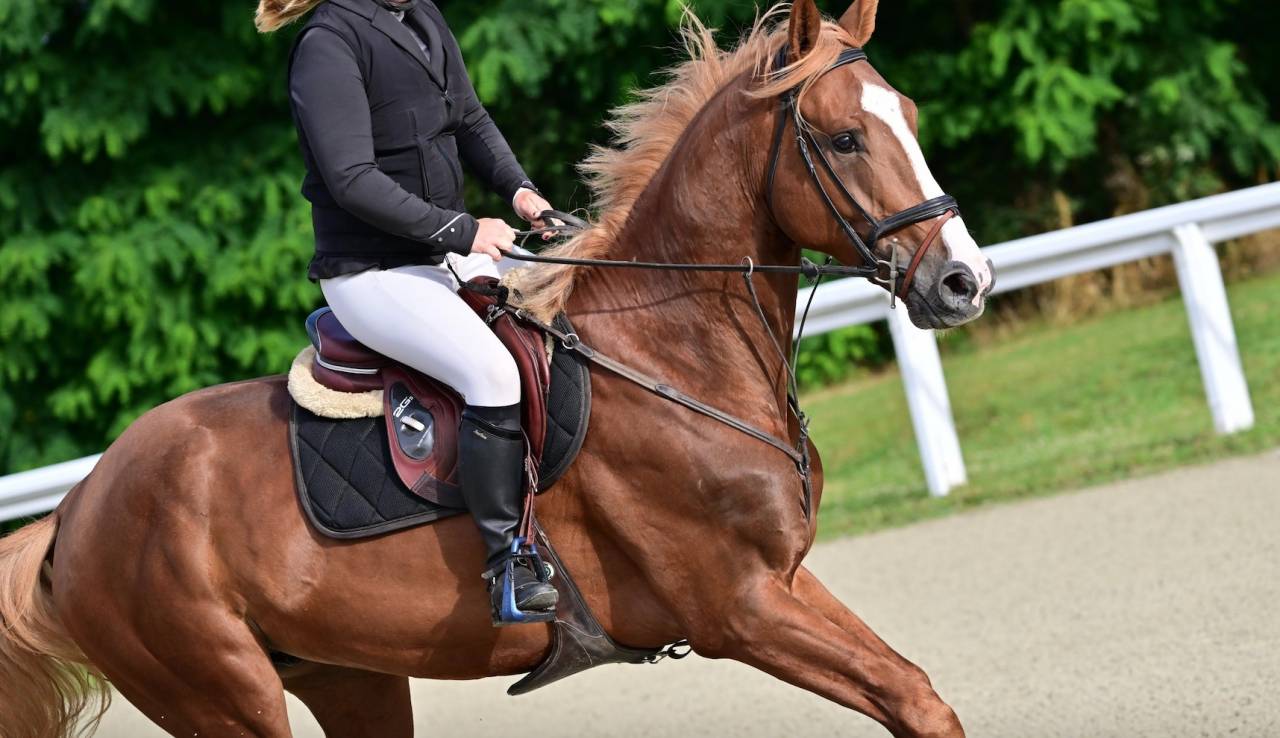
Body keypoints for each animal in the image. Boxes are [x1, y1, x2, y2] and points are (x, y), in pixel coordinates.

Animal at [0, 2, 995, 736]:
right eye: (843, 139)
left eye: (907, 119)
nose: (964, 282)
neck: (670, 352)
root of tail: (73, 512)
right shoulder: (739, 607)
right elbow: (913, 698)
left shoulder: (779, 586)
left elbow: (917, 695)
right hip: (224, 697)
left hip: (348, 675)